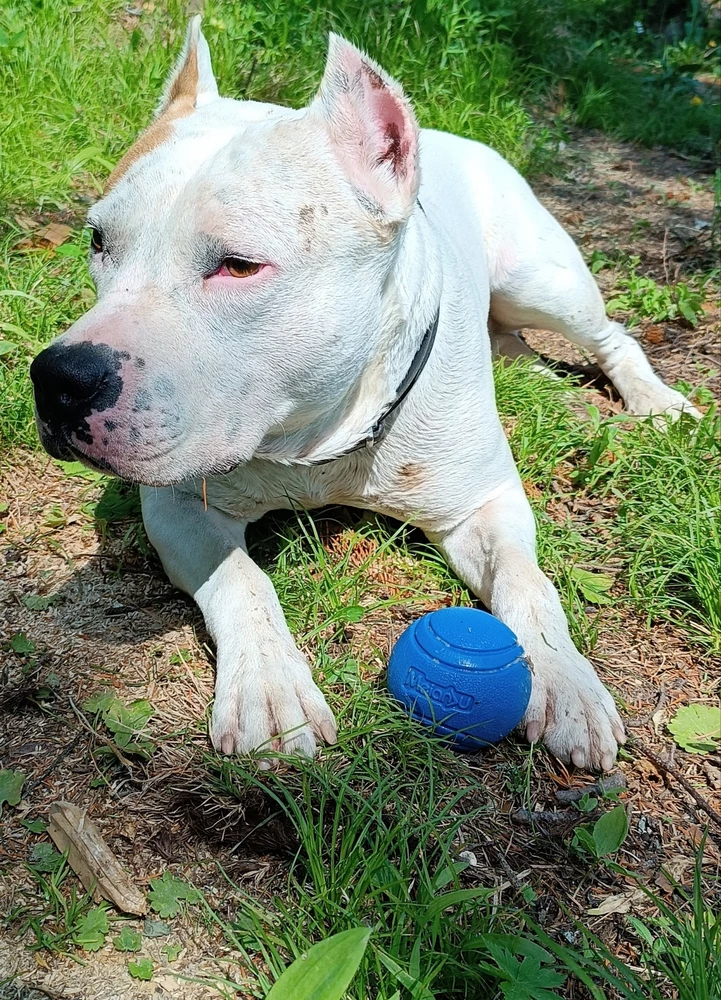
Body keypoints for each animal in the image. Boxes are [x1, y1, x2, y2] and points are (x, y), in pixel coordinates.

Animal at [29, 15, 696, 768]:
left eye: (238, 266)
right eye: (98, 241)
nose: (59, 378)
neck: (320, 435)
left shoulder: (486, 503)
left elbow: (529, 583)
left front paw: (566, 680)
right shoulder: (177, 505)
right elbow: (241, 579)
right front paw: (269, 687)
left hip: (543, 282)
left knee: (612, 335)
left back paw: (656, 403)